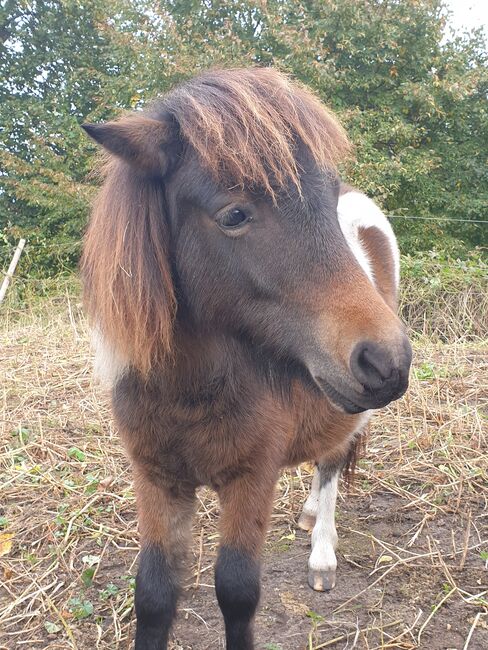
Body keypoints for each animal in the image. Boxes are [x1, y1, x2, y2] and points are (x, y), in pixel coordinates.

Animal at [81, 67, 412, 648]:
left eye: (325, 200)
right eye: (234, 214)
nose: (387, 359)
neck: (189, 391)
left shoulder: (251, 479)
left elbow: (236, 593)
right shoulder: (157, 480)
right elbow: (153, 595)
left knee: (331, 464)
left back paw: (322, 555)